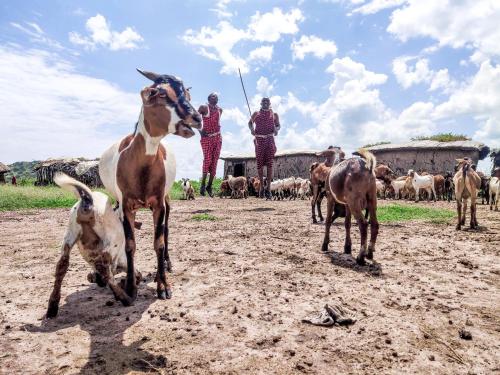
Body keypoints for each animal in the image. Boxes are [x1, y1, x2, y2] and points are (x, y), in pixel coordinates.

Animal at [46, 175, 142, 318]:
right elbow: (136, 274)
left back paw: (52, 306)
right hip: (113, 239)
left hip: (70, 234)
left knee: (62, 265)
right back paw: (125, 298)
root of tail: (88, 199)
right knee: (102, 265)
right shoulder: (122, 261)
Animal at [98, 69, 202, 304]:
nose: (197, 118)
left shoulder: (159, 205)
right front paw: (130, 286)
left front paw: (163, 285)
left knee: (166, 230)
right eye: (160, 93)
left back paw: (166, 264)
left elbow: (159, 242)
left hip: (167, 201)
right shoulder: (126, 205)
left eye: (187, 95)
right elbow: (130, 244)